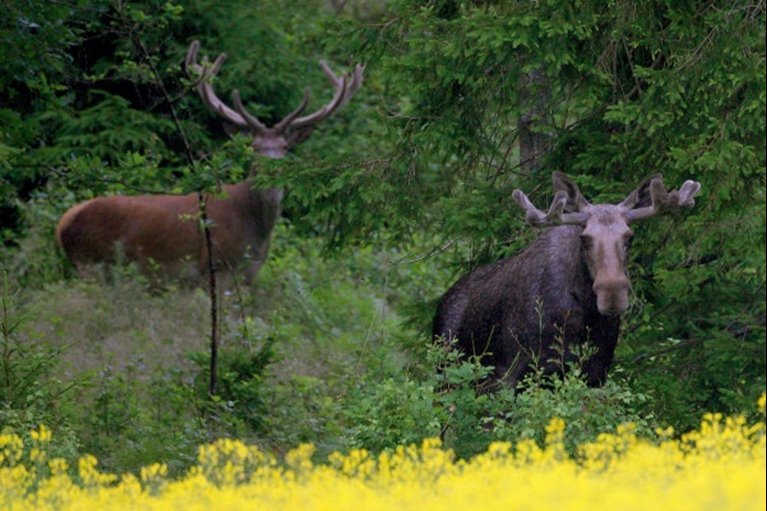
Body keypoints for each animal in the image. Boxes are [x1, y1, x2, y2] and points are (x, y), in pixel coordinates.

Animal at [57, 41, 364, 284]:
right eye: (253, 147)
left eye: (285, 147)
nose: (272, 170)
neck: (255, 234)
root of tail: (61, 225)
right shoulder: (215, 267)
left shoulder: (250, 275)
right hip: (90, 264)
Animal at [432, 172, 704, 388]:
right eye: (584, 238)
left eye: (629, 236)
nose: (612, 294)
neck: (582, 317)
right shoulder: (510, 373)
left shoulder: (595, 372)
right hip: (448, 373)